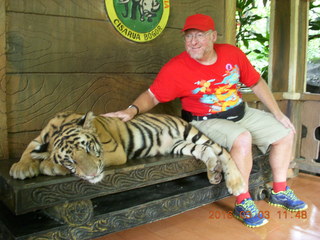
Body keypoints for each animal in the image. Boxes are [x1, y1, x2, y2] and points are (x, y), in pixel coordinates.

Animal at [9, 111, 245, 196]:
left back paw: (236, 183)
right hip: (180, 145)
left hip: (192, 134)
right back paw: (213, 171)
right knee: (207, 151)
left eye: (88, 148)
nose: (92, 174)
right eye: (70, 160)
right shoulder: (39, 138)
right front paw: (21, 167)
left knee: (222, 151)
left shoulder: (115, 151)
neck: (59, 127)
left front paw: (47, 164)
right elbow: (29, 148)